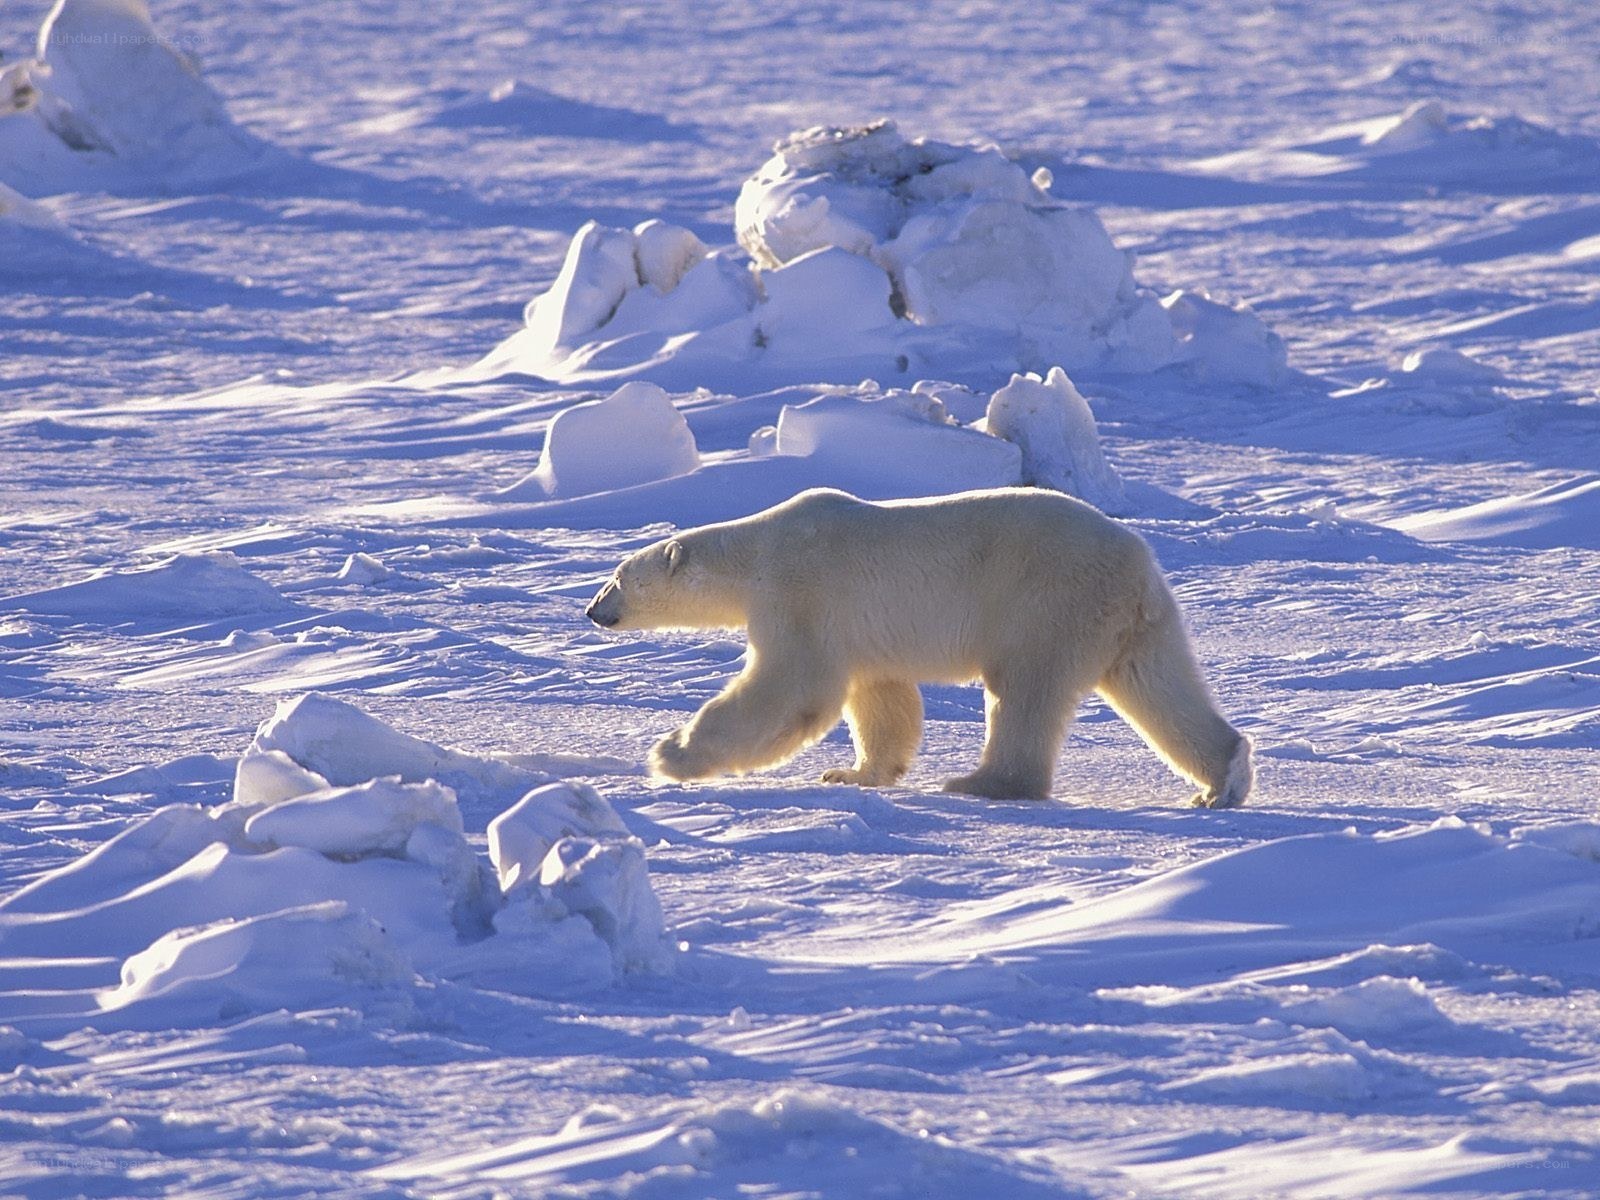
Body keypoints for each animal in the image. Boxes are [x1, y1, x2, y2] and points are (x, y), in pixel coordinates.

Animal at [585, 487, 1253, 807]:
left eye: (617, 577)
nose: (592, 611)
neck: (757, 551)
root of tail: (1138, 563)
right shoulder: (859, 631)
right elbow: (882, 698)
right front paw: (853, 772)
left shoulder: (800, 593)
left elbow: (793, 687)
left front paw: (671, 754)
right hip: (1134, 622)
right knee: (1159, 685)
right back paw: (1221, 780)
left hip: (1046, 600)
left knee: (1025, 691)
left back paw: (981, 782)